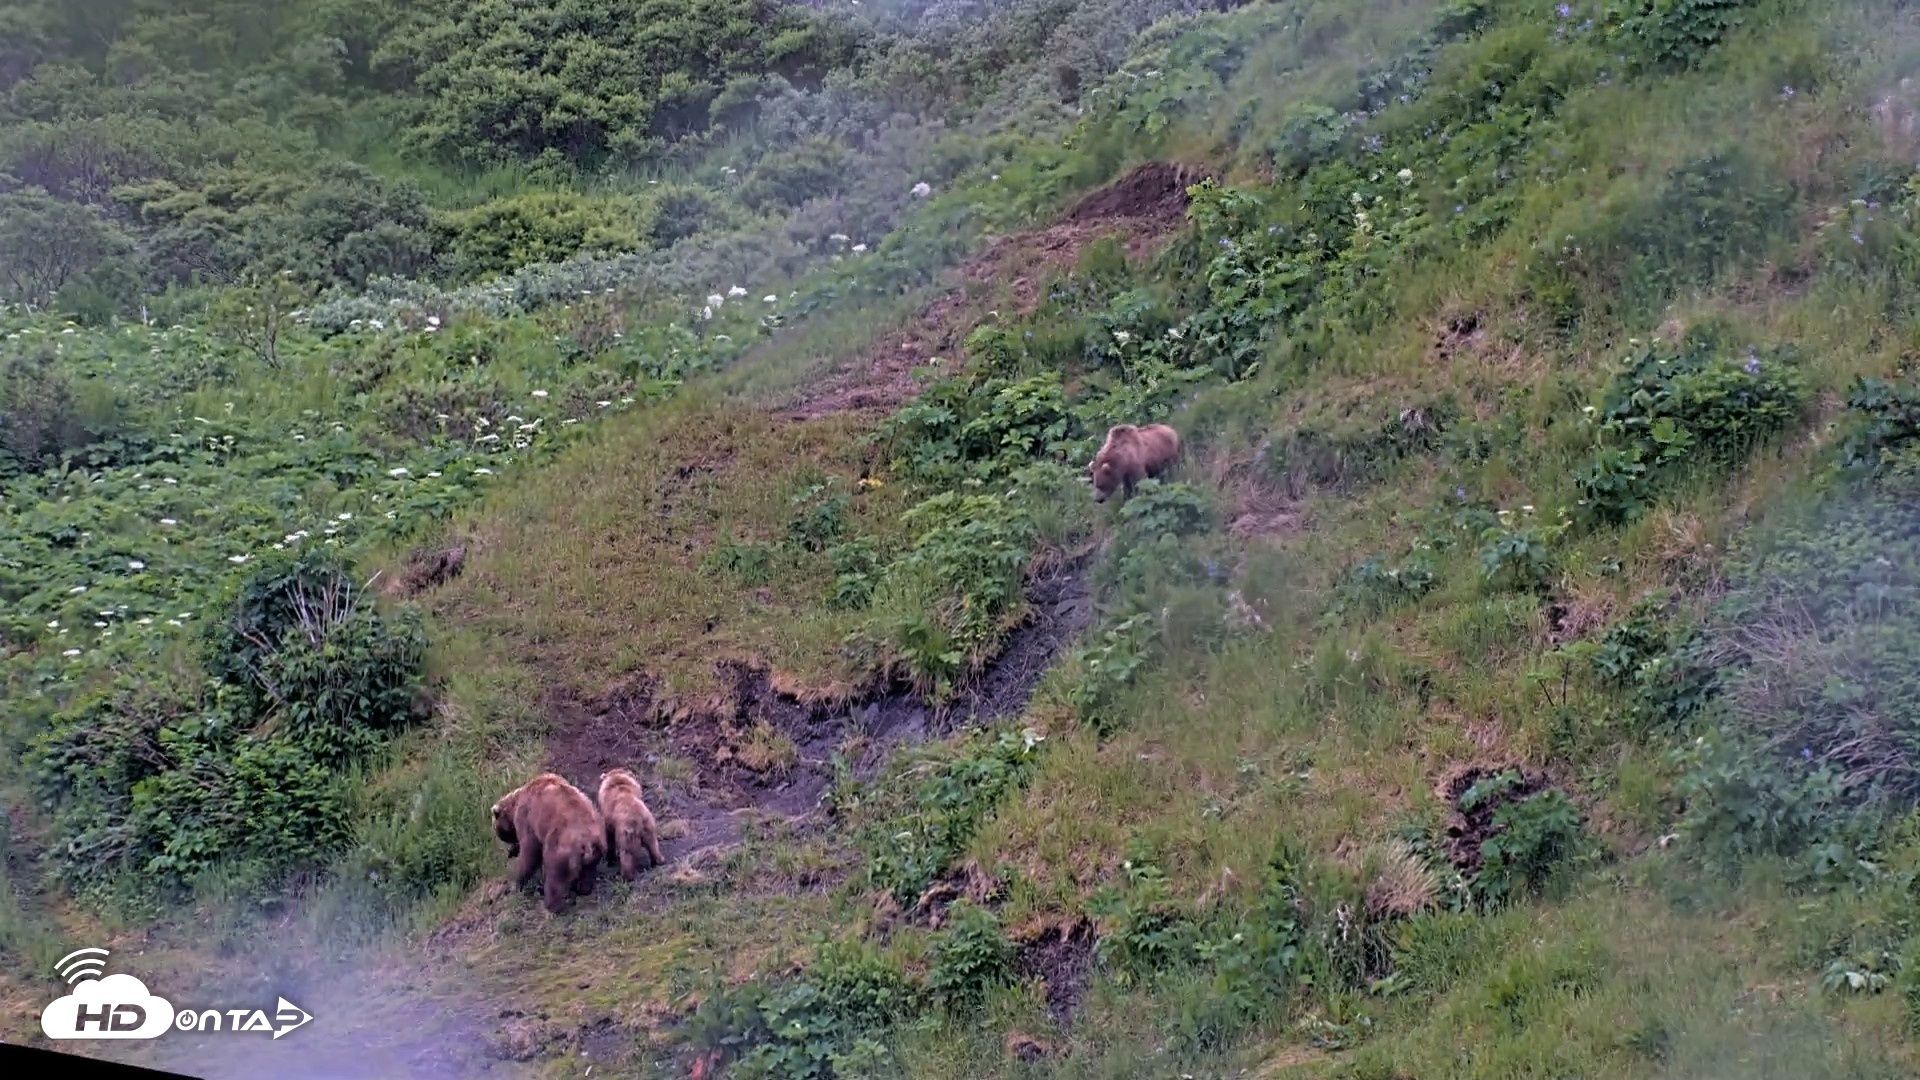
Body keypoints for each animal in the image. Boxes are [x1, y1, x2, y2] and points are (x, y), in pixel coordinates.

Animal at [490, 773, 606, 913]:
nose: (511, 851)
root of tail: (586, 843)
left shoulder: (527, 818)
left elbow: (530, 852)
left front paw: (518, 883)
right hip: (597, 847)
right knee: (588, 871)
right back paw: (583, 889)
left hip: (561, 847)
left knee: (554, 875)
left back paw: (551, 904)